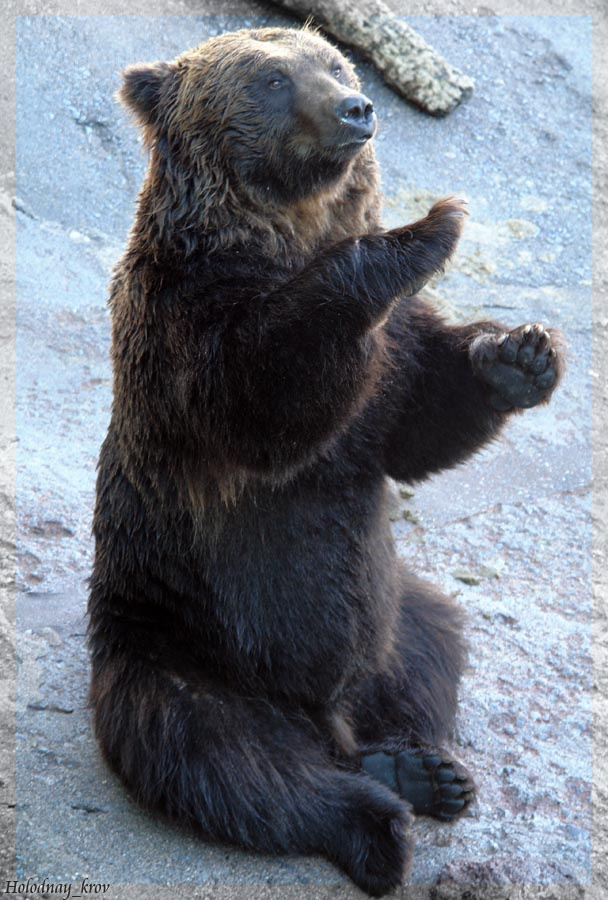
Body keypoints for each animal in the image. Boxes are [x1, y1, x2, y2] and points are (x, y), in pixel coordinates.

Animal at [87, 25, 562, 897]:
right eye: (272, 78)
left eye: (336, 63)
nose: (358, 107)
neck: (281, 234)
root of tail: (328, 716)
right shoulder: (183, 318)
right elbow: (266, 397)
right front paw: (428, 228)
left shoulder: (392, 352)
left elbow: (414, 421)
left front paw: (518, 353)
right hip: (183, 643)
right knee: (221, 755)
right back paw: (379, 824)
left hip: (392, 616)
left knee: (437, 648)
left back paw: (422, 766)